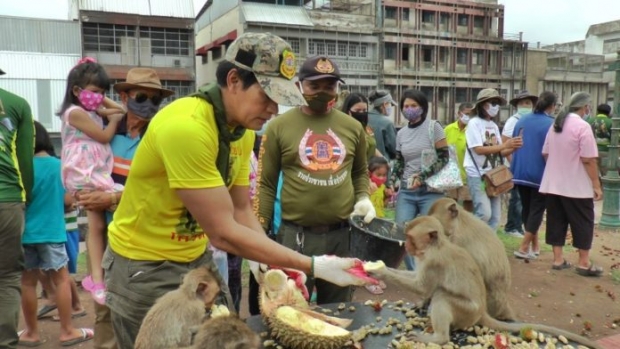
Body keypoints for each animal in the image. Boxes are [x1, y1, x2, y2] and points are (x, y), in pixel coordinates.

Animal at [368, 216, 600, 346]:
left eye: (410, 237)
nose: (406, 245)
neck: (435, 246)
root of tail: (481, 313)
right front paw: (377, 267)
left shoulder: (434, 261)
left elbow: (422, 287)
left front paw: (380, 273)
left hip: (467, 312)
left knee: (442, 295)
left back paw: (439, 338)